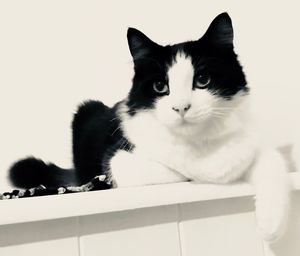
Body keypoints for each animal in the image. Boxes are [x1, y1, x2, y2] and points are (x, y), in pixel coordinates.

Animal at [9, 13, 290, 242]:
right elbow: (177, 170)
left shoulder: (249, 144)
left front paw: (272, 225)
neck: (199, 142)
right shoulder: (120, 161)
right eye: (159, 86)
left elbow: (273, 161)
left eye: (203, 80)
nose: (181, 107)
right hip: (86, 111)